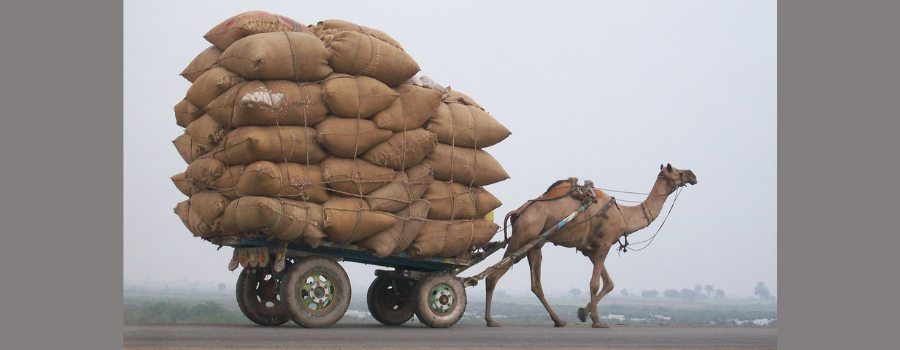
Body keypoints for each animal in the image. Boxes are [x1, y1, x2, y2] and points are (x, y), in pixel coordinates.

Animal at [486, 164, 696, 328]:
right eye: (675, 169)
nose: (693, 175)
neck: (623, 214)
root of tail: (517, 212)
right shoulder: (605, 244)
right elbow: (595, 283)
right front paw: (597, 320)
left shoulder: (590, 249)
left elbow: (609, 283)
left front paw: (582, 312)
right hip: (523, 236)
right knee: (492, 275)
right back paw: (491, 320)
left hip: (535, 244)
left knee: (535, 284)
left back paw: (558, 320)